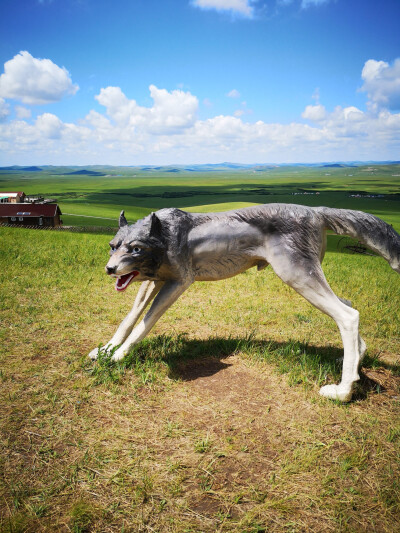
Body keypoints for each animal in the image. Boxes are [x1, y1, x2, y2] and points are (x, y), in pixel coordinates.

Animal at [88, 204, 400, 400]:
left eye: (136, 249)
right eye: (113, 246)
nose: (110, 269)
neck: (165, 235)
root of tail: (315, 211)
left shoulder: (179, 282)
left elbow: (145, 322)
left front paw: (118, 356)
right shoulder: (156, 281)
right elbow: (129, 318)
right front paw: (106, 349)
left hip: (297, 277)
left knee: (348, 315)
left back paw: (343, 391)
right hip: (307, 278)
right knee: (348, 306)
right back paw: (354, 363)